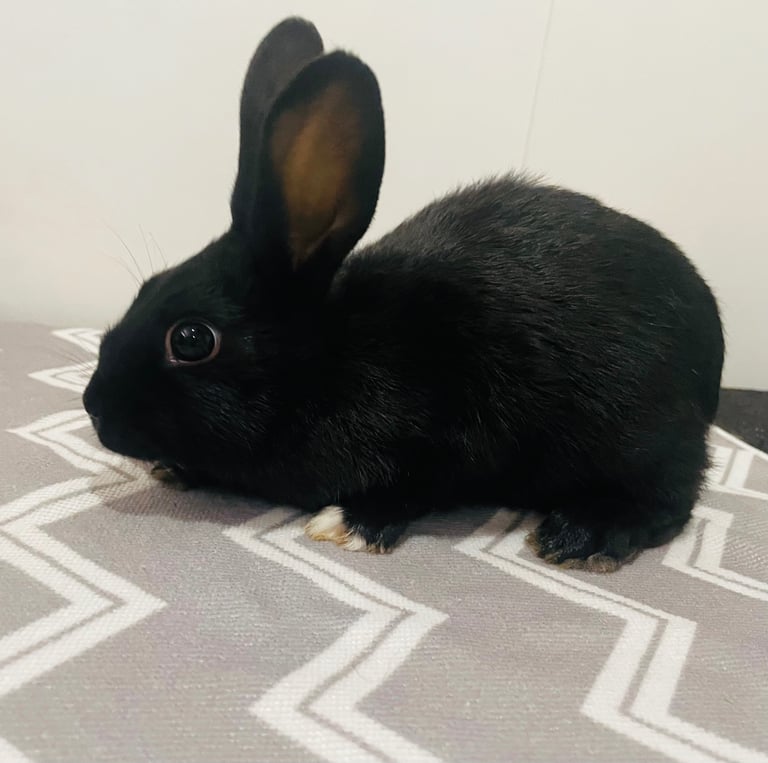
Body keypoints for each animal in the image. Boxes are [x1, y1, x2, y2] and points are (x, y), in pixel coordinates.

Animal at [83, 17, 724, 572]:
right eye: (145, 288)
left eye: (192, 339)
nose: (94, 407)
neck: (328, 361)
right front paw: (173, 469)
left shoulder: (451, 442)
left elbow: (412, 488)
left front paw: (349, 524)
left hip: (638, 433)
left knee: (672, 500)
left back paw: (582, 534)